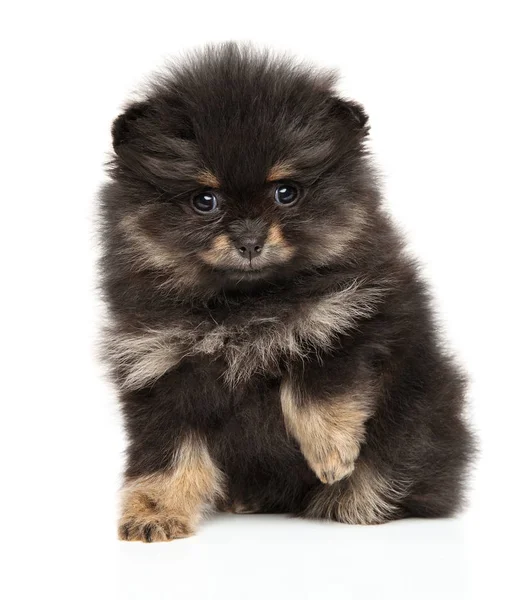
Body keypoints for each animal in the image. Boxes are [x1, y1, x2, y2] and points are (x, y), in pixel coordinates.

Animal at [100, 43, 474, 544]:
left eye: (286, 192)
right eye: (205, 200)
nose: (249, 241)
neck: (246, 302)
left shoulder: (347, 315)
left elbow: (314, 378)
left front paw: (332, 452)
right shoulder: (160, 370)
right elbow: (167, 454)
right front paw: (154, 512)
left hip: (419, 412)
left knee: (394, 471)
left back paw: (349, 500)